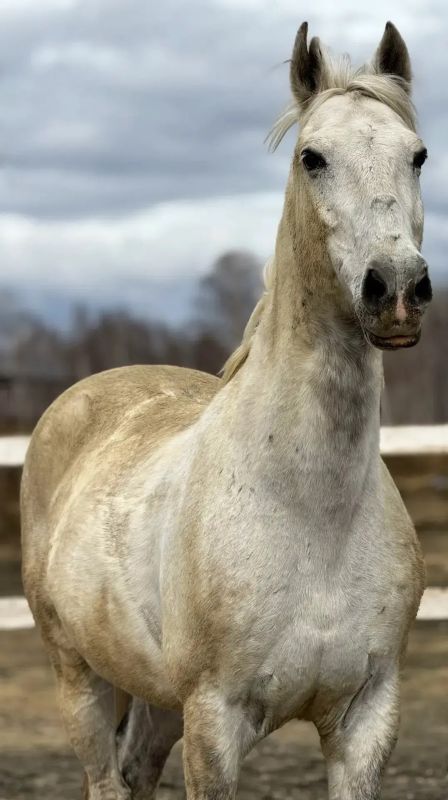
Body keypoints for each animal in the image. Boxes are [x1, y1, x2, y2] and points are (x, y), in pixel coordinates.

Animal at [21, 21, 431, 800]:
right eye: (312, 157)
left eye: (418, 155)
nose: (396, 289)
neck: (312, 509)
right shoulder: (215, 722)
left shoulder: (368, 722)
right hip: (79, 677)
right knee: (104, 775)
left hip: (156, 701)